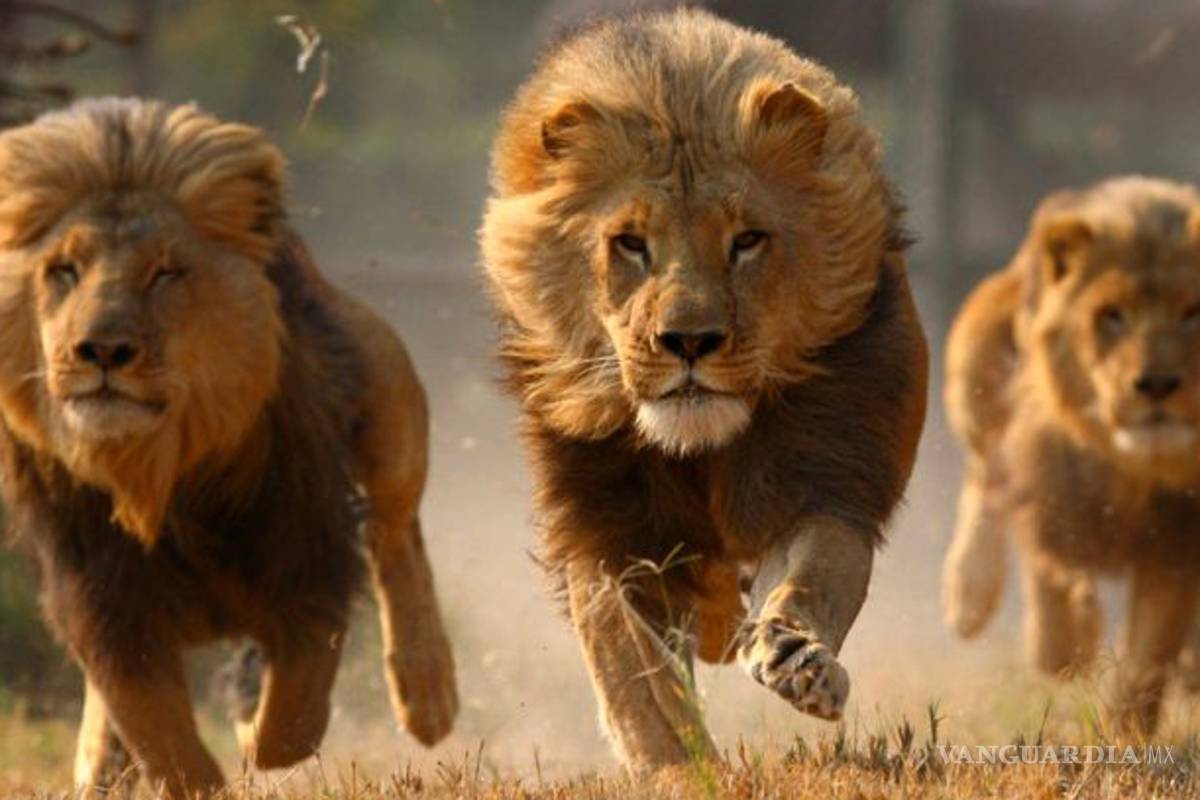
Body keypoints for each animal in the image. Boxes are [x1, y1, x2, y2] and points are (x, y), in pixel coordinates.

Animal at [0, 98, 458, 797]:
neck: (158, 473)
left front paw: (248, 716)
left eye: (166, 273)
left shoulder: (305, 562)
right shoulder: (102, 598)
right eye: (63, 271)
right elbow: (156, 730)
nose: (100, 350)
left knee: (396, 531)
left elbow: (291, 718)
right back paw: (97, 762)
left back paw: (428, 692)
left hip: (384, 378)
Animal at [480, 9, 928, 772]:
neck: (699, 448)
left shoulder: (820, 480)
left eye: (747, 241)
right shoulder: (605, 527)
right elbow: (633, 670)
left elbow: (813, 576)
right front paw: (673, 762)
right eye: (630, 243)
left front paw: (797, 658)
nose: (689, 341)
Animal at [943, 175, 1200, 734]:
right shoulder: (1047, 485)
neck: (1132, 470)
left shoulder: (1176, 544)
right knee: (984, 478)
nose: (1156, 385)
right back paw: (968, 595)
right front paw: (1067, 643)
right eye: (1112, 317)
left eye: (1193, 313)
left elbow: (1147, 659)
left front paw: (1125, 736)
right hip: (977, 355)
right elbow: (1048, 568)